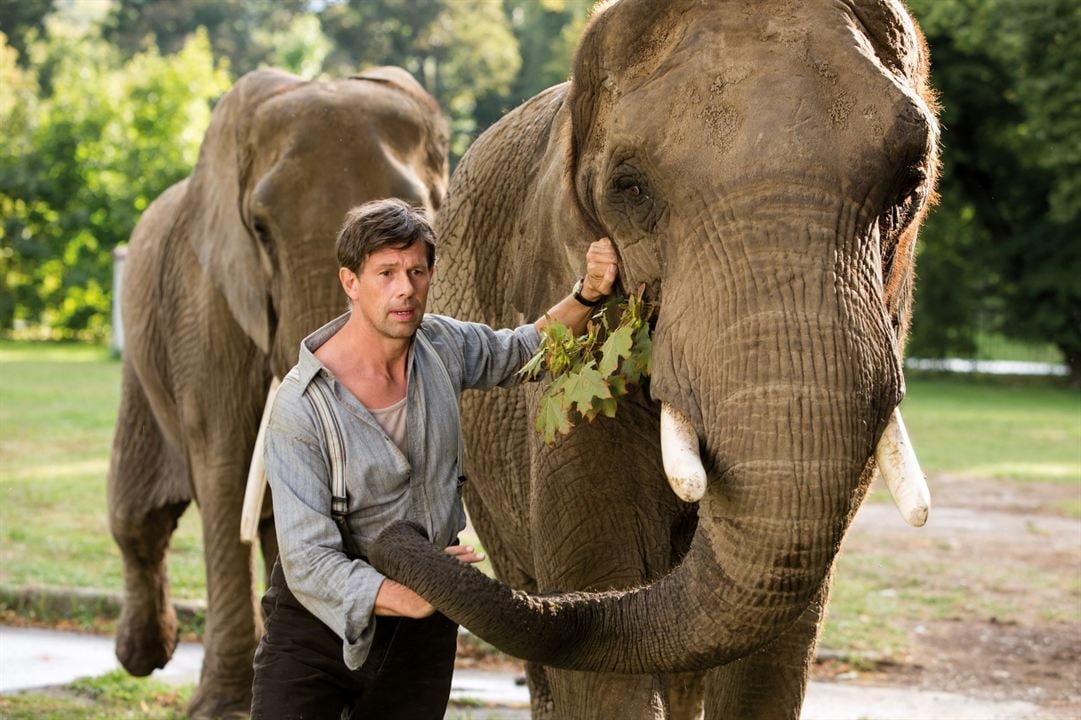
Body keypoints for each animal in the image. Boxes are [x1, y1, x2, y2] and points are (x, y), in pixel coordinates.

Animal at [106, 65, 447, 713]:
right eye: (259, 230)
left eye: (421, 217)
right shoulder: (205, 304)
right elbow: (222, 467)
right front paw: (222, 710)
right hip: (141, 356)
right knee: (138, 515)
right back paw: (140, 656)